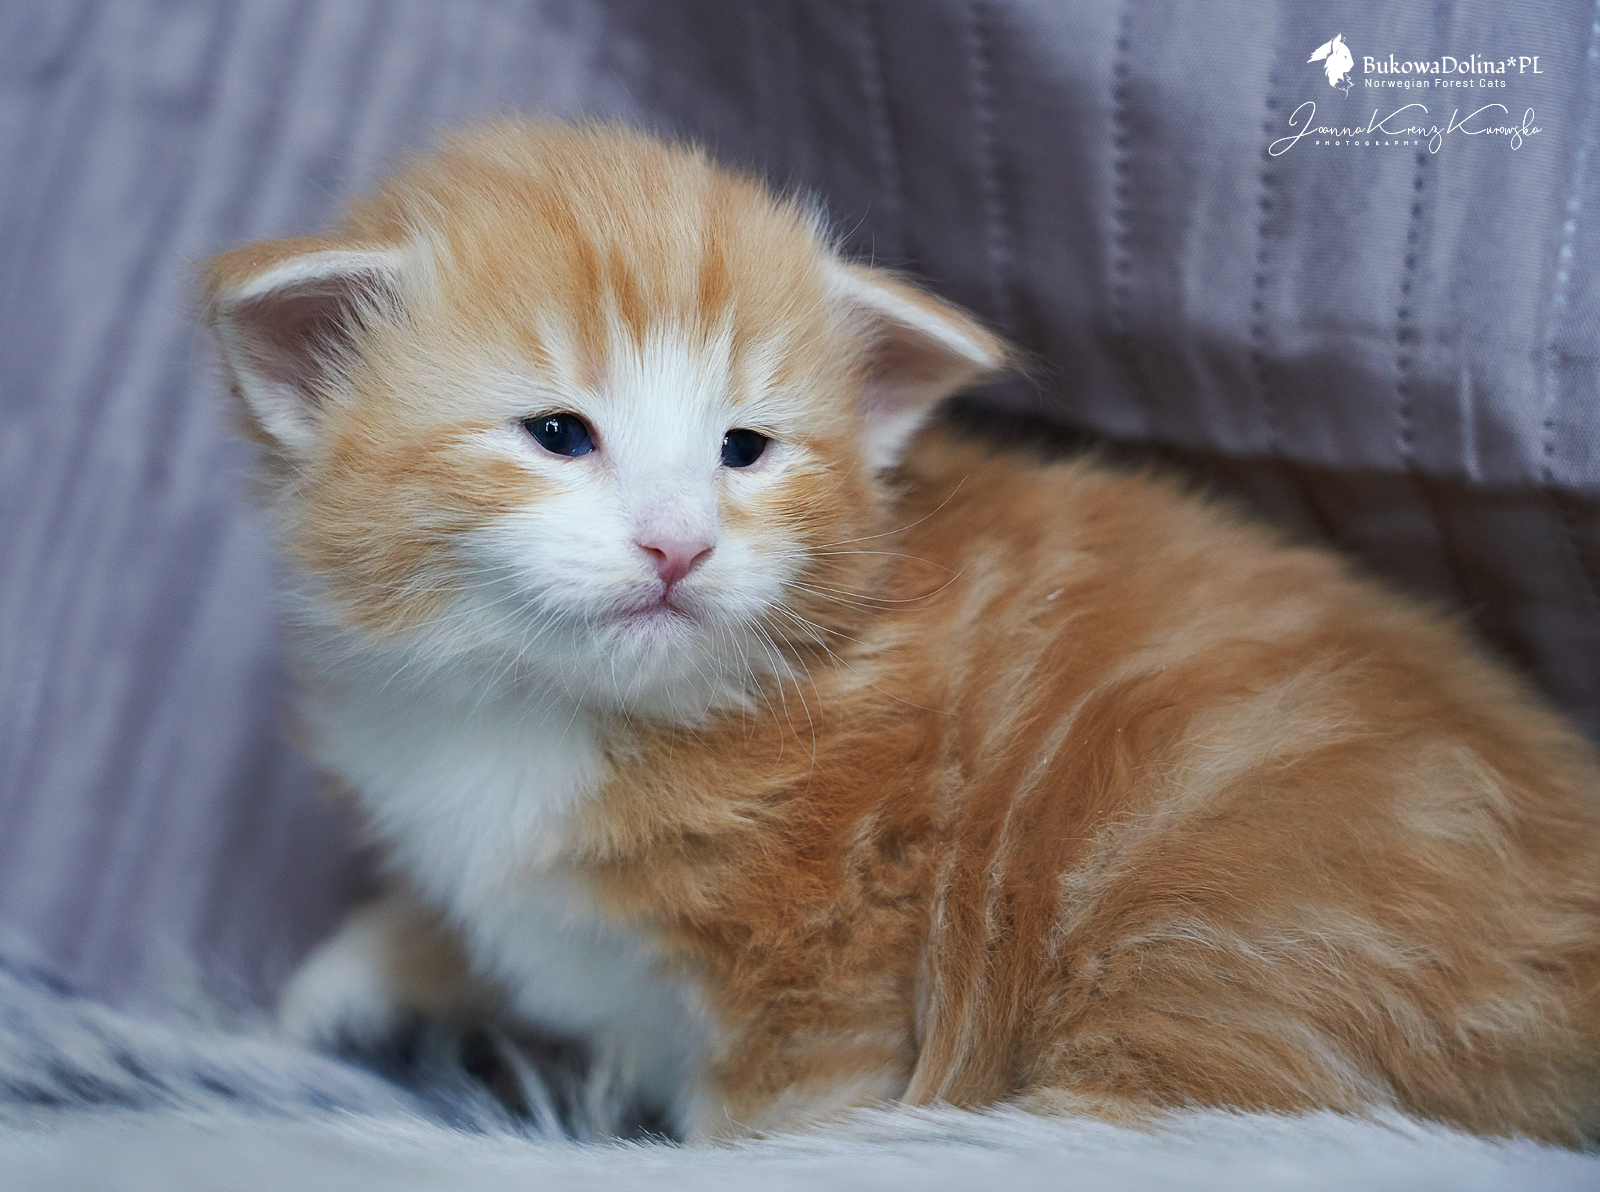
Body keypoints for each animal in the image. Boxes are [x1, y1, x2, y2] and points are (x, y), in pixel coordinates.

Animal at [202, 120, 1600, 1145]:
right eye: (558, 434)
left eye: (743, 449)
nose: (678, 545)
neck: (543, 705)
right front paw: (330, 990)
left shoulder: (828, 966)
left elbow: (778, 1120)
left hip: (1214, 911)